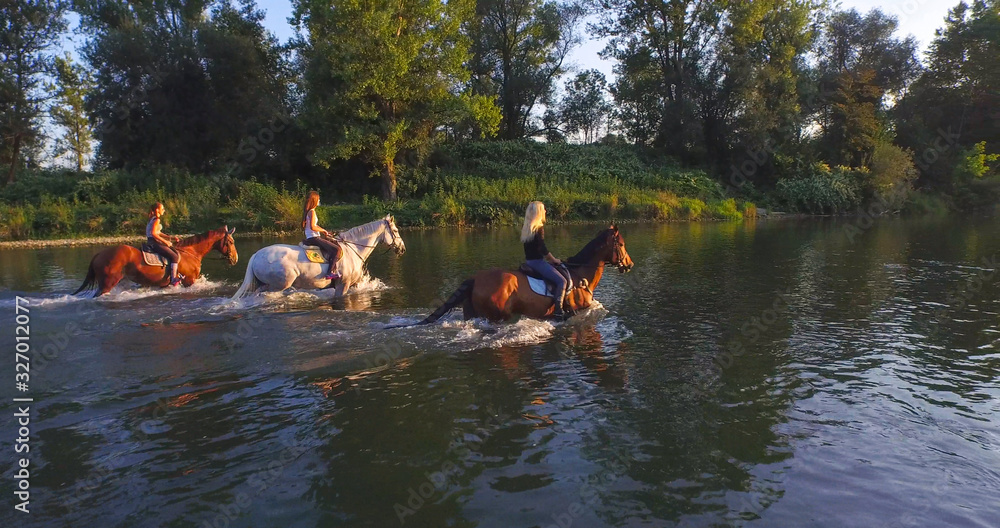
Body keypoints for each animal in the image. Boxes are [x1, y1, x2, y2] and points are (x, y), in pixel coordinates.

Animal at [72, 225, 240, 294]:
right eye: (231, 242)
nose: (235, 259)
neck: (190, 253)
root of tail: (98, 255)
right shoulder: (189, 281)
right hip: (108, 282)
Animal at [232, 213, 404, 296]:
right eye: (395, 231)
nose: (402, 249)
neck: (353, 249)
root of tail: (256, 255)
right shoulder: (342, 285)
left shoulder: (354, 284)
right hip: (278, 285)